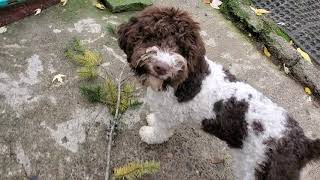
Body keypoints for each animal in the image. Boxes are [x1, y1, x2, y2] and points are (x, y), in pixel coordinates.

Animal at [117, 5, 320, 180]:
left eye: (180, 47)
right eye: (152, 37)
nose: (162, 67)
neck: (182, 79)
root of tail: (303, 144)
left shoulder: (170, 115)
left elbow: (161, 131)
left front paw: (149, 134)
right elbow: (157, 118)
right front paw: (152, 119)